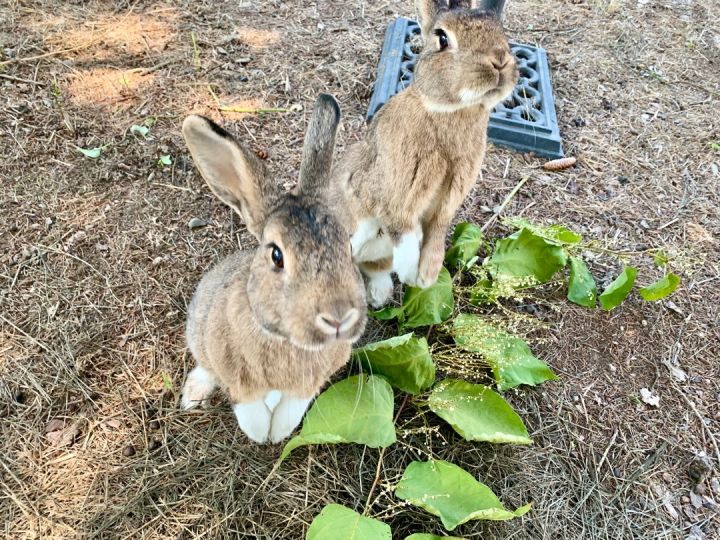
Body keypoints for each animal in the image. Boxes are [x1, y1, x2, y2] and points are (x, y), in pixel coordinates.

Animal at [179, 95, 368, 446]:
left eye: (348, 247)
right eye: (277, 255)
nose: (338, 317)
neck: (286, 340)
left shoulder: (307, 385)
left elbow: (291, 408)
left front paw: (277, 433)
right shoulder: (238, 381)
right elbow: (250, 411)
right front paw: (260, 436)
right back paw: (193, 396)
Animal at [334, 0, 520, 306]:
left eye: (504, 36)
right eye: (442, 38)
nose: (500, 61)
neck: (451, 110)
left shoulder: (447, 201)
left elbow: (436, 232)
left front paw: (428, 276)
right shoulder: (393, 195)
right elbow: (403, 229)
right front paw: (411, 273)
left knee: (377, 267)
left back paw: (379, 294)